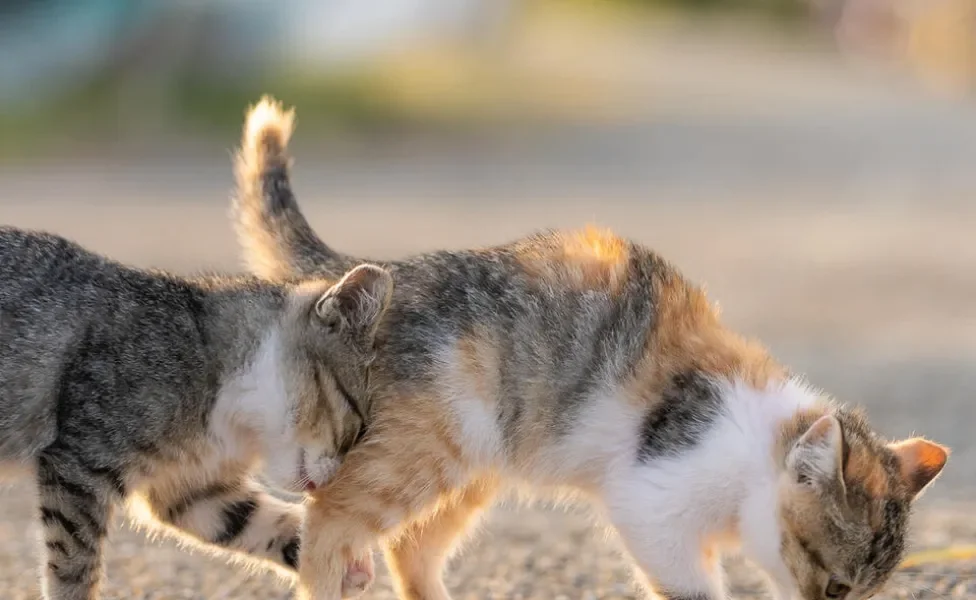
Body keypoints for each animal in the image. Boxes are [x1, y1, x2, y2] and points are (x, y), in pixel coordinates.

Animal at [0, 225, 390, 600]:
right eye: (357, 425)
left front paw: (344, 558)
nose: (330, 480)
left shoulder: (188, 488)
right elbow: (74, 566)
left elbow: (251, 520)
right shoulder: (82, 464)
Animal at [233, 98, 948, 600]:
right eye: (836, 584)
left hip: (470, 463)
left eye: (864, 591)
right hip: (421, 450)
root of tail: (382, 273)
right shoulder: (653, 504)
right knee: (328, 518)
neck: (758, 448)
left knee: (409, 547)